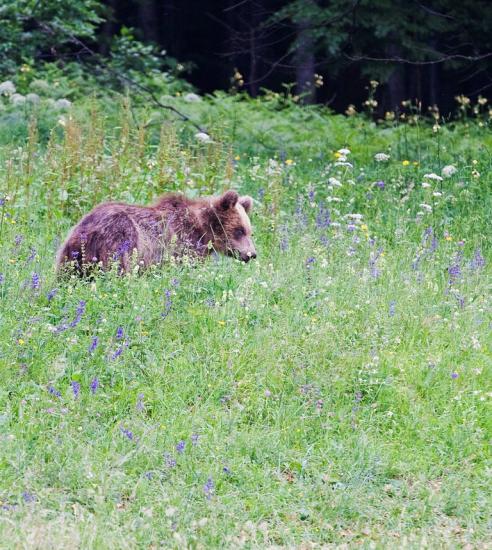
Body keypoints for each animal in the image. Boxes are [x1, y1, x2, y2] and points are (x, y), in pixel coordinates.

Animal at [56, 190, 258, 276]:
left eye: (249, 231)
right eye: (239, 230)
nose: (252, 254)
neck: (202, 229)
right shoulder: (182, 245)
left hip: (73, 254)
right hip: (120, 240)